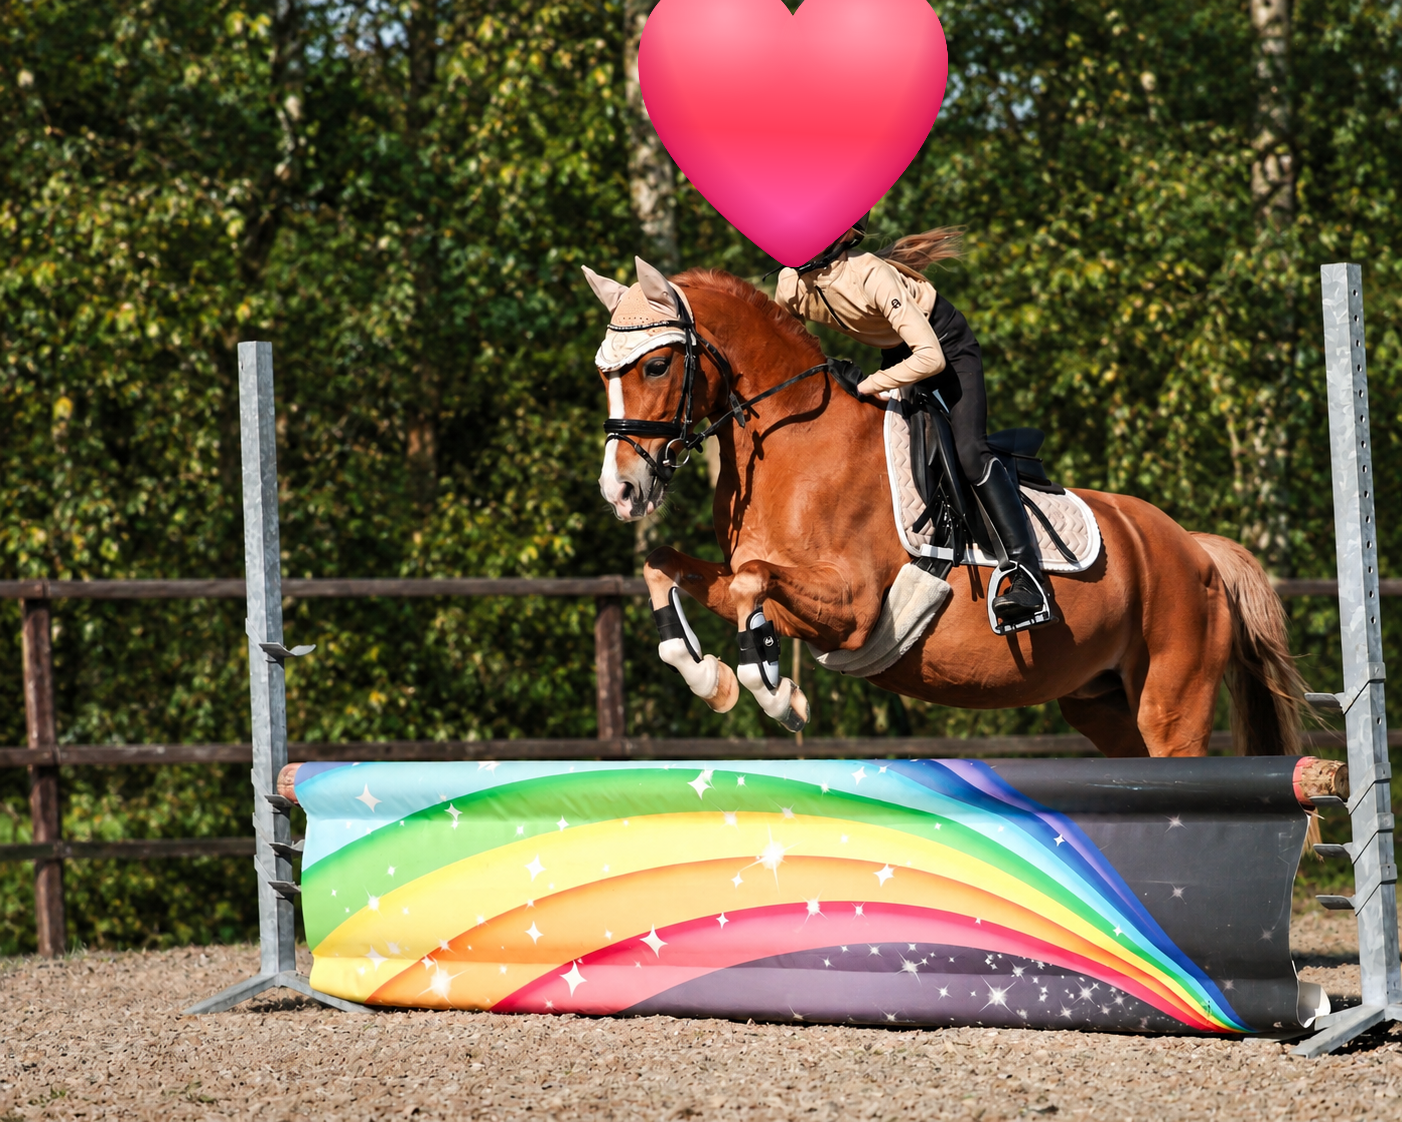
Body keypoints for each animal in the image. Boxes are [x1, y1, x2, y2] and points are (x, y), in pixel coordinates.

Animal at [585, 257, 1306, 758]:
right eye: (603, 373)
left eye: (655, 367)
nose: (620, 490)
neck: (795, 442)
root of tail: (1195, 548)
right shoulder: (786, 595)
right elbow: (670, 566)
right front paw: (712, 678)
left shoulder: (852, 608)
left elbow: (749, 585)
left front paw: (775, 692)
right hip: (1102, 705)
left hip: (1171, 705)